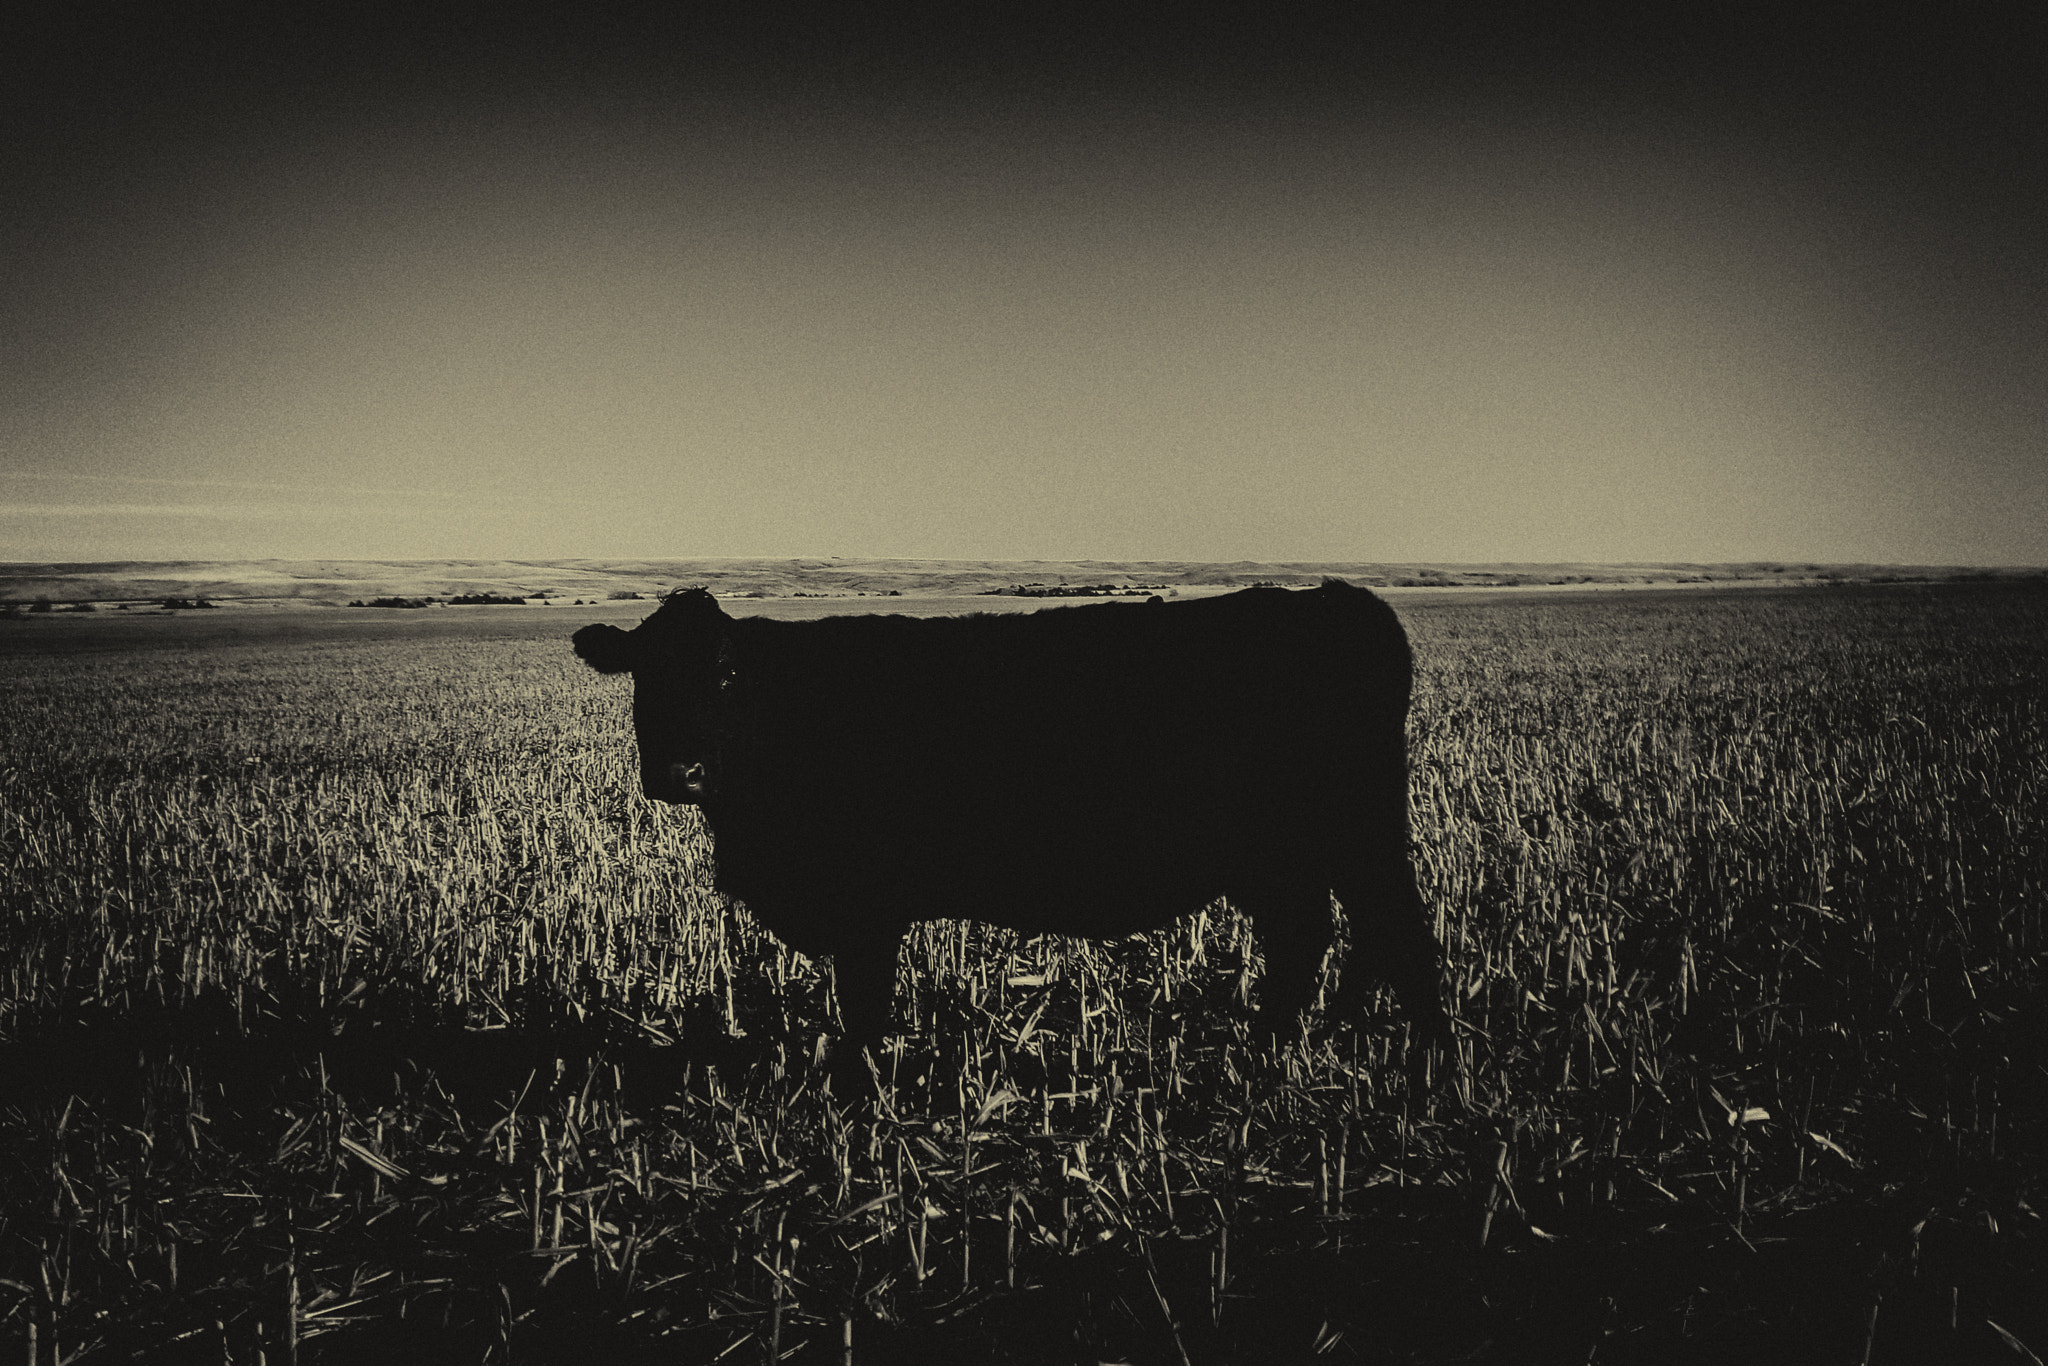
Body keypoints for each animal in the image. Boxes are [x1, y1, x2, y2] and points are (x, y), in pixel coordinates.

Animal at [572, 580, 1451, 1087]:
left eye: (726, 674)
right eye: (644, 677)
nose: (681, 770)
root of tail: (1339, 596)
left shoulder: (865, 907)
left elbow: (863, 1007)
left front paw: (857, 1089)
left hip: (1358, 834)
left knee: (1396, 933)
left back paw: (1425, 1065)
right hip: (1288, 857)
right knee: (1319, 936)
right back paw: (1278, 1048)